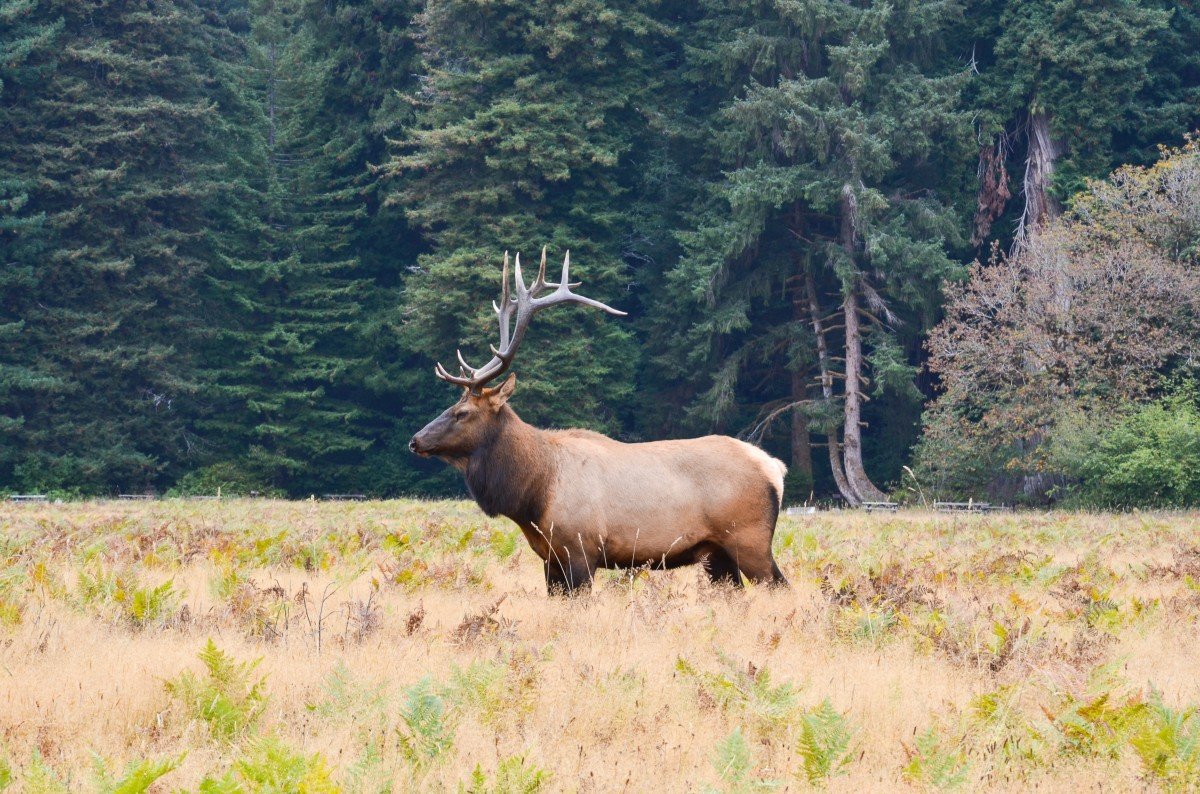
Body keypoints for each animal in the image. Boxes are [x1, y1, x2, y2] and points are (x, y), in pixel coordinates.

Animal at [409, 248, 789, 595]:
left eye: (462, 413)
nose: (415, 440)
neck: (534, 493)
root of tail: (775, 467)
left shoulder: (580, 549)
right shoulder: (550, 558)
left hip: (749, 538)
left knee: (780, 587)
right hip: (716, 553)